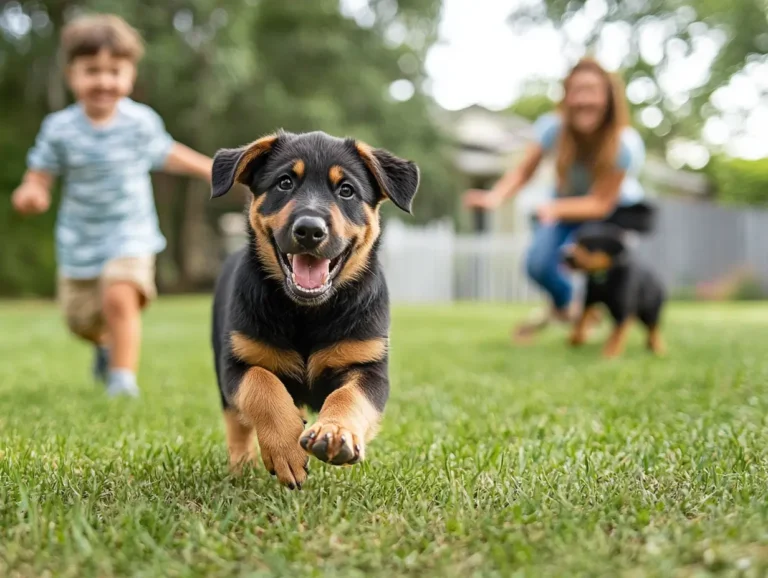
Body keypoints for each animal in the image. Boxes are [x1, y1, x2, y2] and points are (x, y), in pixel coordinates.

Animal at [210, 129, 420, 486]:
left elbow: (347, 396)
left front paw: (335, 434)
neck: (307, 312)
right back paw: (242, 466)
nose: (309, 230)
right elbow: (262, 386)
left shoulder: (368, 366)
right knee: (235, 423)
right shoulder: (238, 361)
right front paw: (285, 449)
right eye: (284, 183)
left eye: (346, 190)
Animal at [564, 220, 664, 356]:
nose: (564, 255)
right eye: (576, 240)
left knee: (653, 327)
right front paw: (575, 338)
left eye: (588, 244)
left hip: (650, 310)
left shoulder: (622, 308)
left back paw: (658, 347)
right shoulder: (589, 299)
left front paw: (610, 352)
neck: (604, 276)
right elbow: (582, 318)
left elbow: (616, 332)